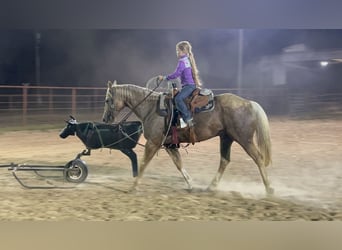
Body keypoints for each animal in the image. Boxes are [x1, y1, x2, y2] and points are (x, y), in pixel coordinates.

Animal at [103, 79, 274, 194]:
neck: (151, 108)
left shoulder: (153, 143)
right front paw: (191, 184)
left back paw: (269, 189)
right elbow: (178, 163)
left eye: (107, 99)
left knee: (258, 158)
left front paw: (133, 187)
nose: (105, 119)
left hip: (244, 139)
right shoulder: (168, 145)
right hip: (226, 138)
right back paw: (211, 186)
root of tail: (249, 103)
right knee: (225, 160)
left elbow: (144, 164)